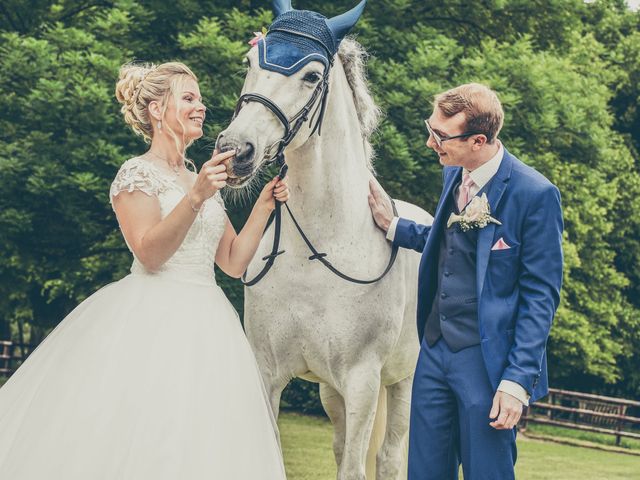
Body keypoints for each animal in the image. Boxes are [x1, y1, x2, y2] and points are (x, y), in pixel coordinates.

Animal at [218, 34, 432, 480]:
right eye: (249, 61)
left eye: (312, 76)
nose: (235, 151)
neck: (316, 253)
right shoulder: (268, 373)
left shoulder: (363, 382)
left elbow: (355, 468)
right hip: (331, 391)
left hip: (402, 380)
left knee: (389, 457)